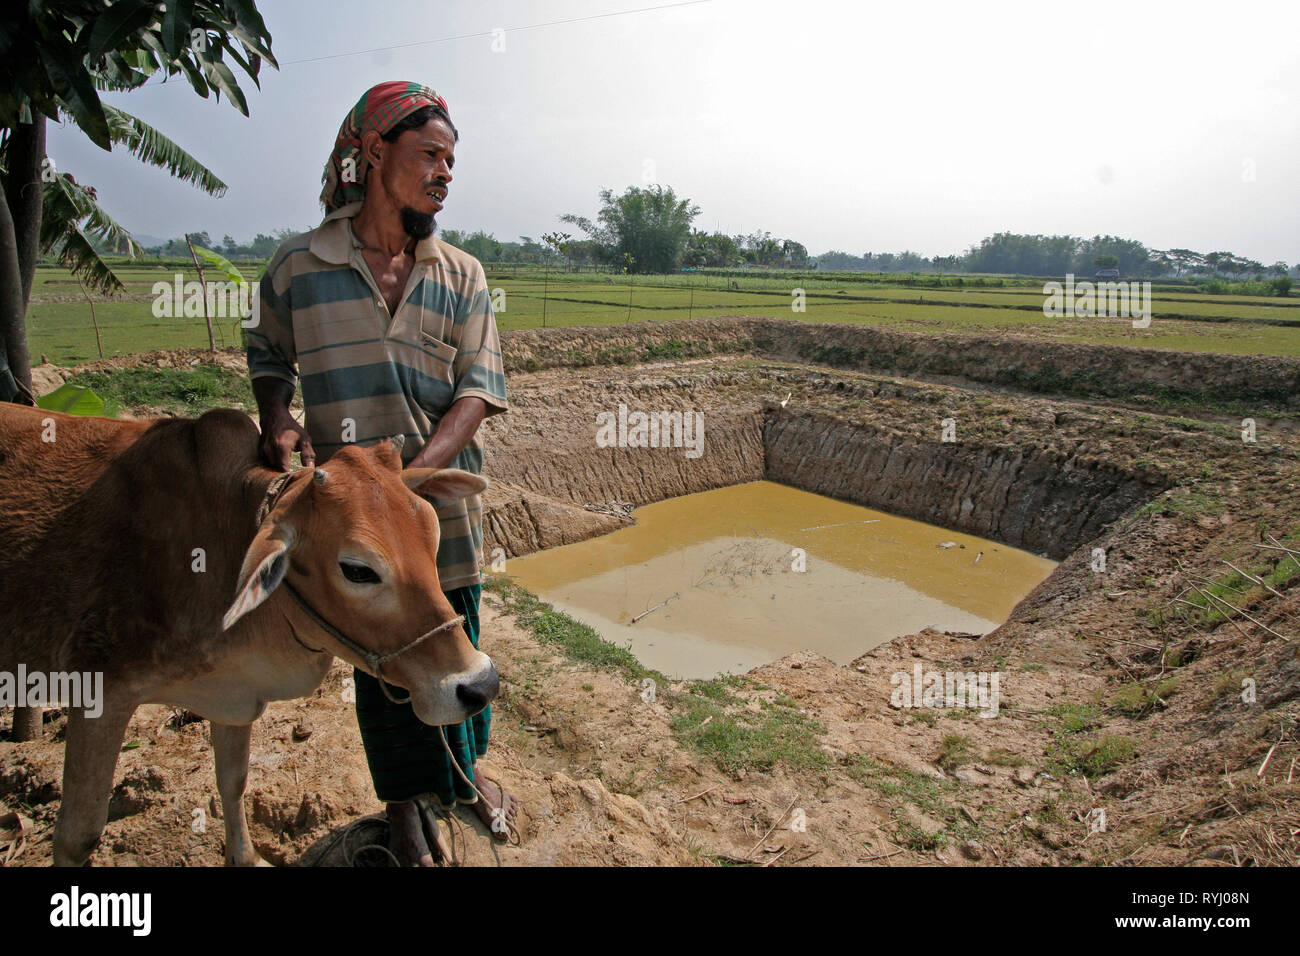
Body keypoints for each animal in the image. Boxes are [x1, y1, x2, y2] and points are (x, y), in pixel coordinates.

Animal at [0, 403, 496, 868]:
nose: (480, 684)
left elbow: (233, 781)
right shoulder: (99, 693)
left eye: (433, 536)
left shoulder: (234, 691)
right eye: (357, 570)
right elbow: (77, 837)